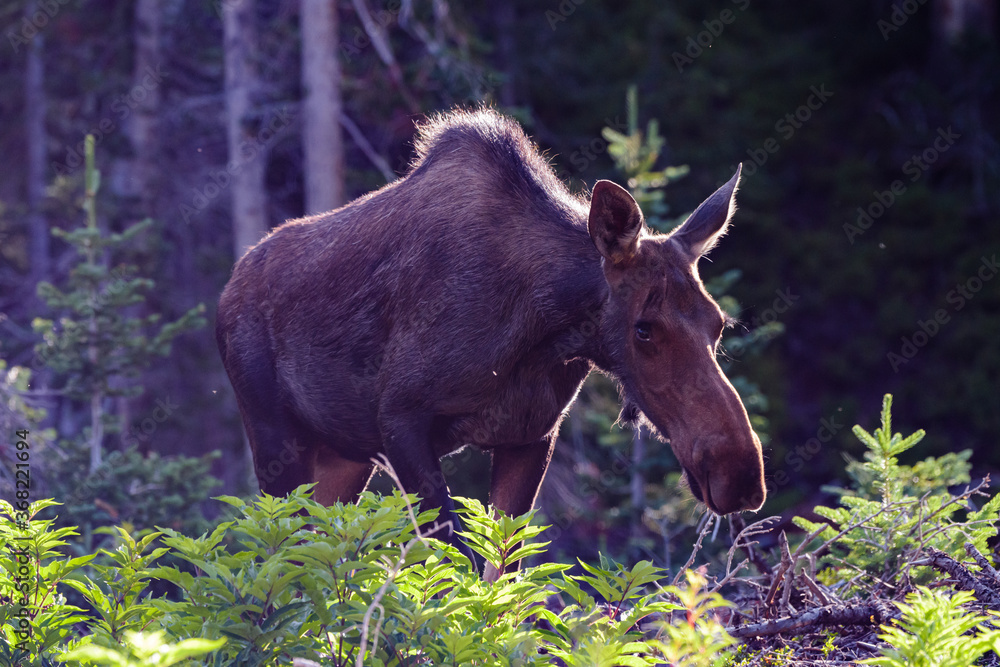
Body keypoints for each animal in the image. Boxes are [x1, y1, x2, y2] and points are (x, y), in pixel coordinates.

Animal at [217, 108, 764, 576]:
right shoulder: (400, 418)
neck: (541, 330)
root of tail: (229, 288)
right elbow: (453, 565)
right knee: (283, 554)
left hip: (344, 455)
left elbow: (502, 571)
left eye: (718, 323)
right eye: (644, 327)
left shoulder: (531, 434)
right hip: (274, 438)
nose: (739, 473)